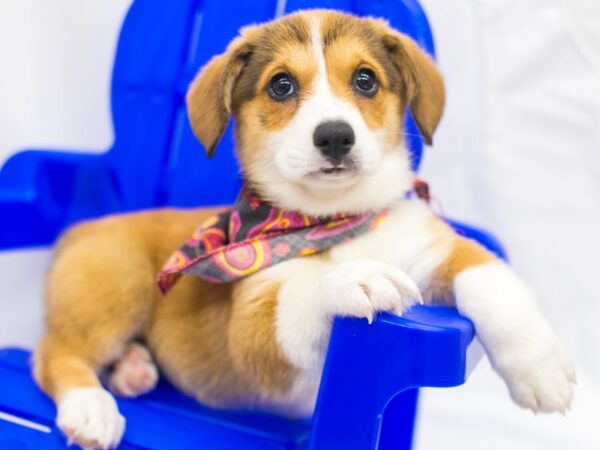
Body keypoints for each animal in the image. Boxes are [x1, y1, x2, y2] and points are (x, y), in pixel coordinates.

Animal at [34, 10, 576, 450]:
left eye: (365, 79)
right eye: (281, 85)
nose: (335, 136)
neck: (334, 225)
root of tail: (83, 227)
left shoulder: (439, 249)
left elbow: (493, 284)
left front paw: (540, 369)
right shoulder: (254, 325)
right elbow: (309, 290)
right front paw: (359, 279)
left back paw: (132, 370)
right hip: (116, 290)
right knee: (54, 353)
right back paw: (91, 407)